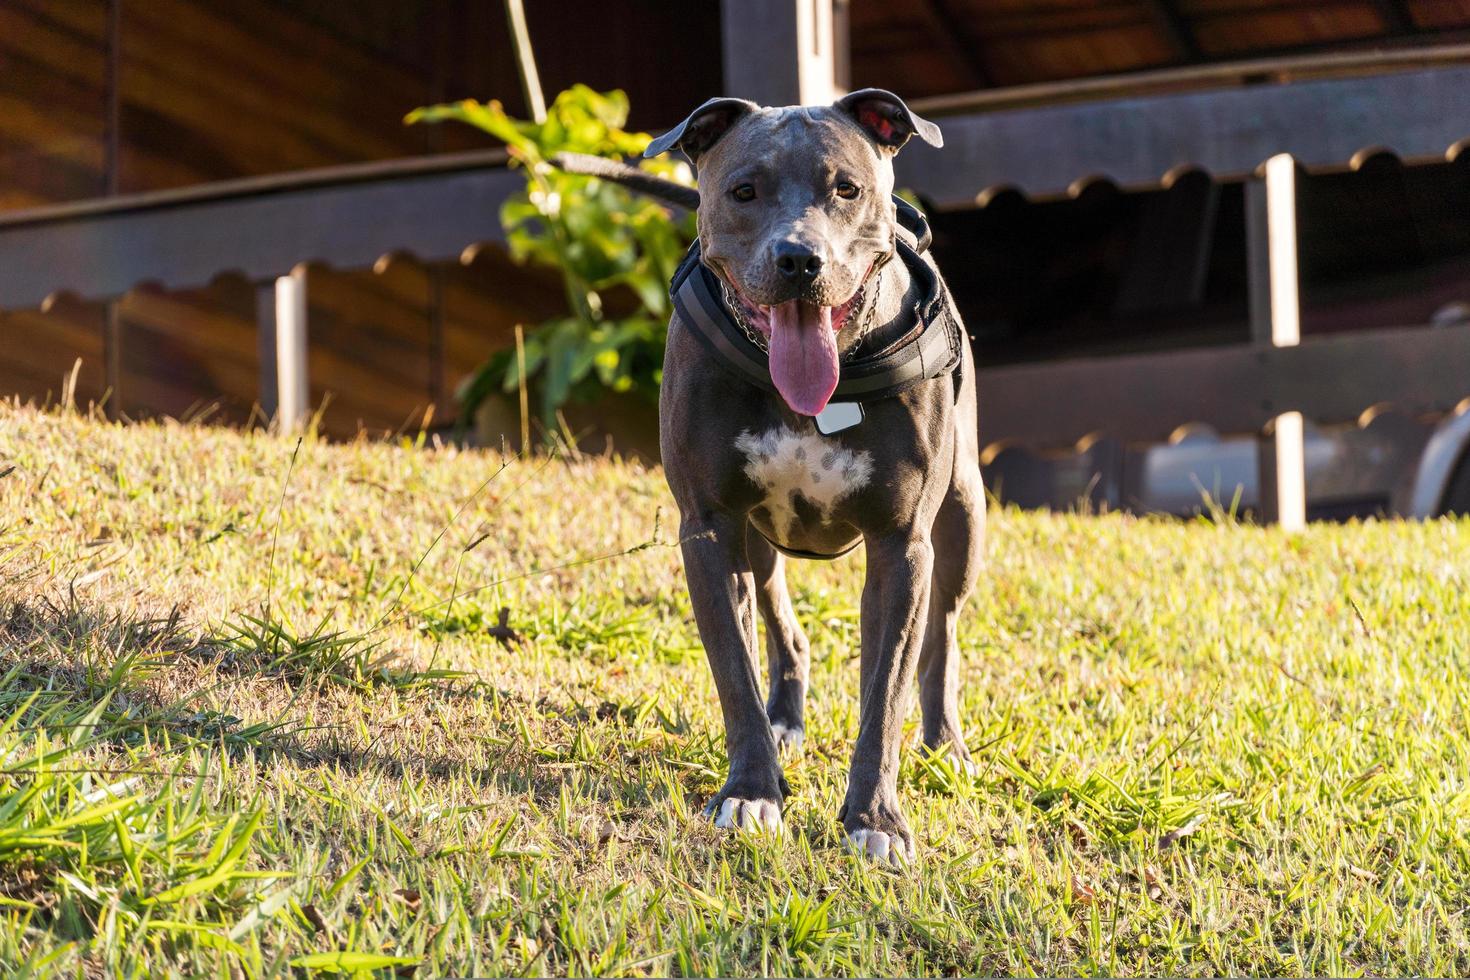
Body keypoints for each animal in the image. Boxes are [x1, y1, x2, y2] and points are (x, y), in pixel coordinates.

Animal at [646, 88, 981, 863]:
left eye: (847, 190)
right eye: (744, 191)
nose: (800, 259)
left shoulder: (901, 546)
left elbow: (884, 695)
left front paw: (875, 821)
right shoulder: (709, 530)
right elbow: (734, 670)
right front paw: (752, 793)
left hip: (962, 516)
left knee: (942, 636)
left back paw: (945, 742)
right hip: (759, 539)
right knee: (779, 624)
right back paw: (785, 722)